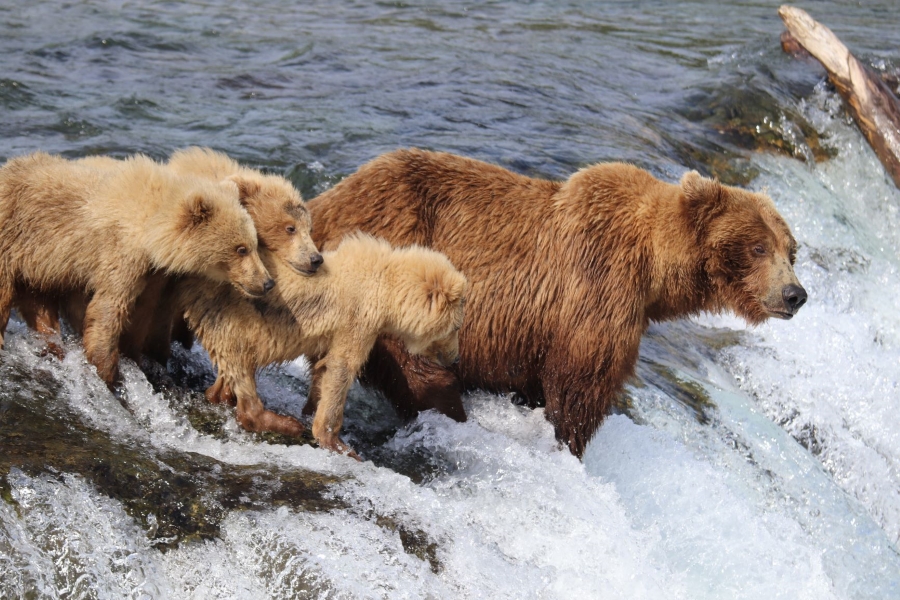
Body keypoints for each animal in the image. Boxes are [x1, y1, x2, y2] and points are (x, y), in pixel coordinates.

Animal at [306, 149, 804, 454]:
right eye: (758, 247)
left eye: (791, 249)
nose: (795, 294)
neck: (652, 270)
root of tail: (324, 204)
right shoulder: (596, 288)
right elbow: (580, 385)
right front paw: (569, 443)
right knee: (418, 371)